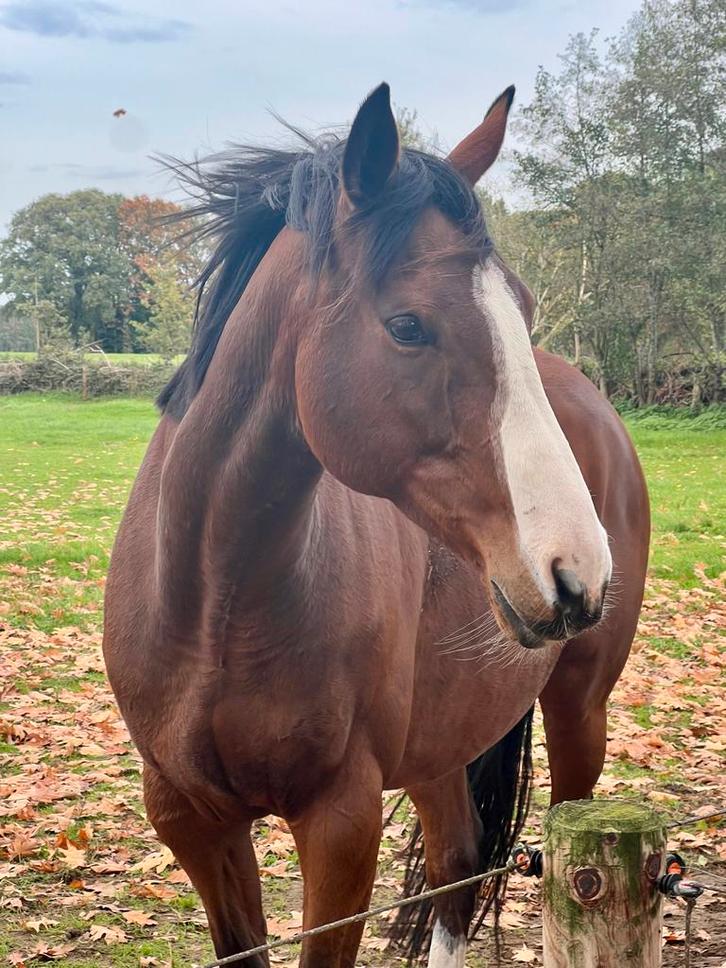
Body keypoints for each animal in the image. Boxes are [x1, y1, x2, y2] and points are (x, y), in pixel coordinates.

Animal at [103, 83, 649, 967]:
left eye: (524, 308)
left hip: (579, 715)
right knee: (457, 859)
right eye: (407, 325)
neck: (216, 603)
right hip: (440, 740)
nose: (578, 569)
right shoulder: (192, 822)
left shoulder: (341, 824)